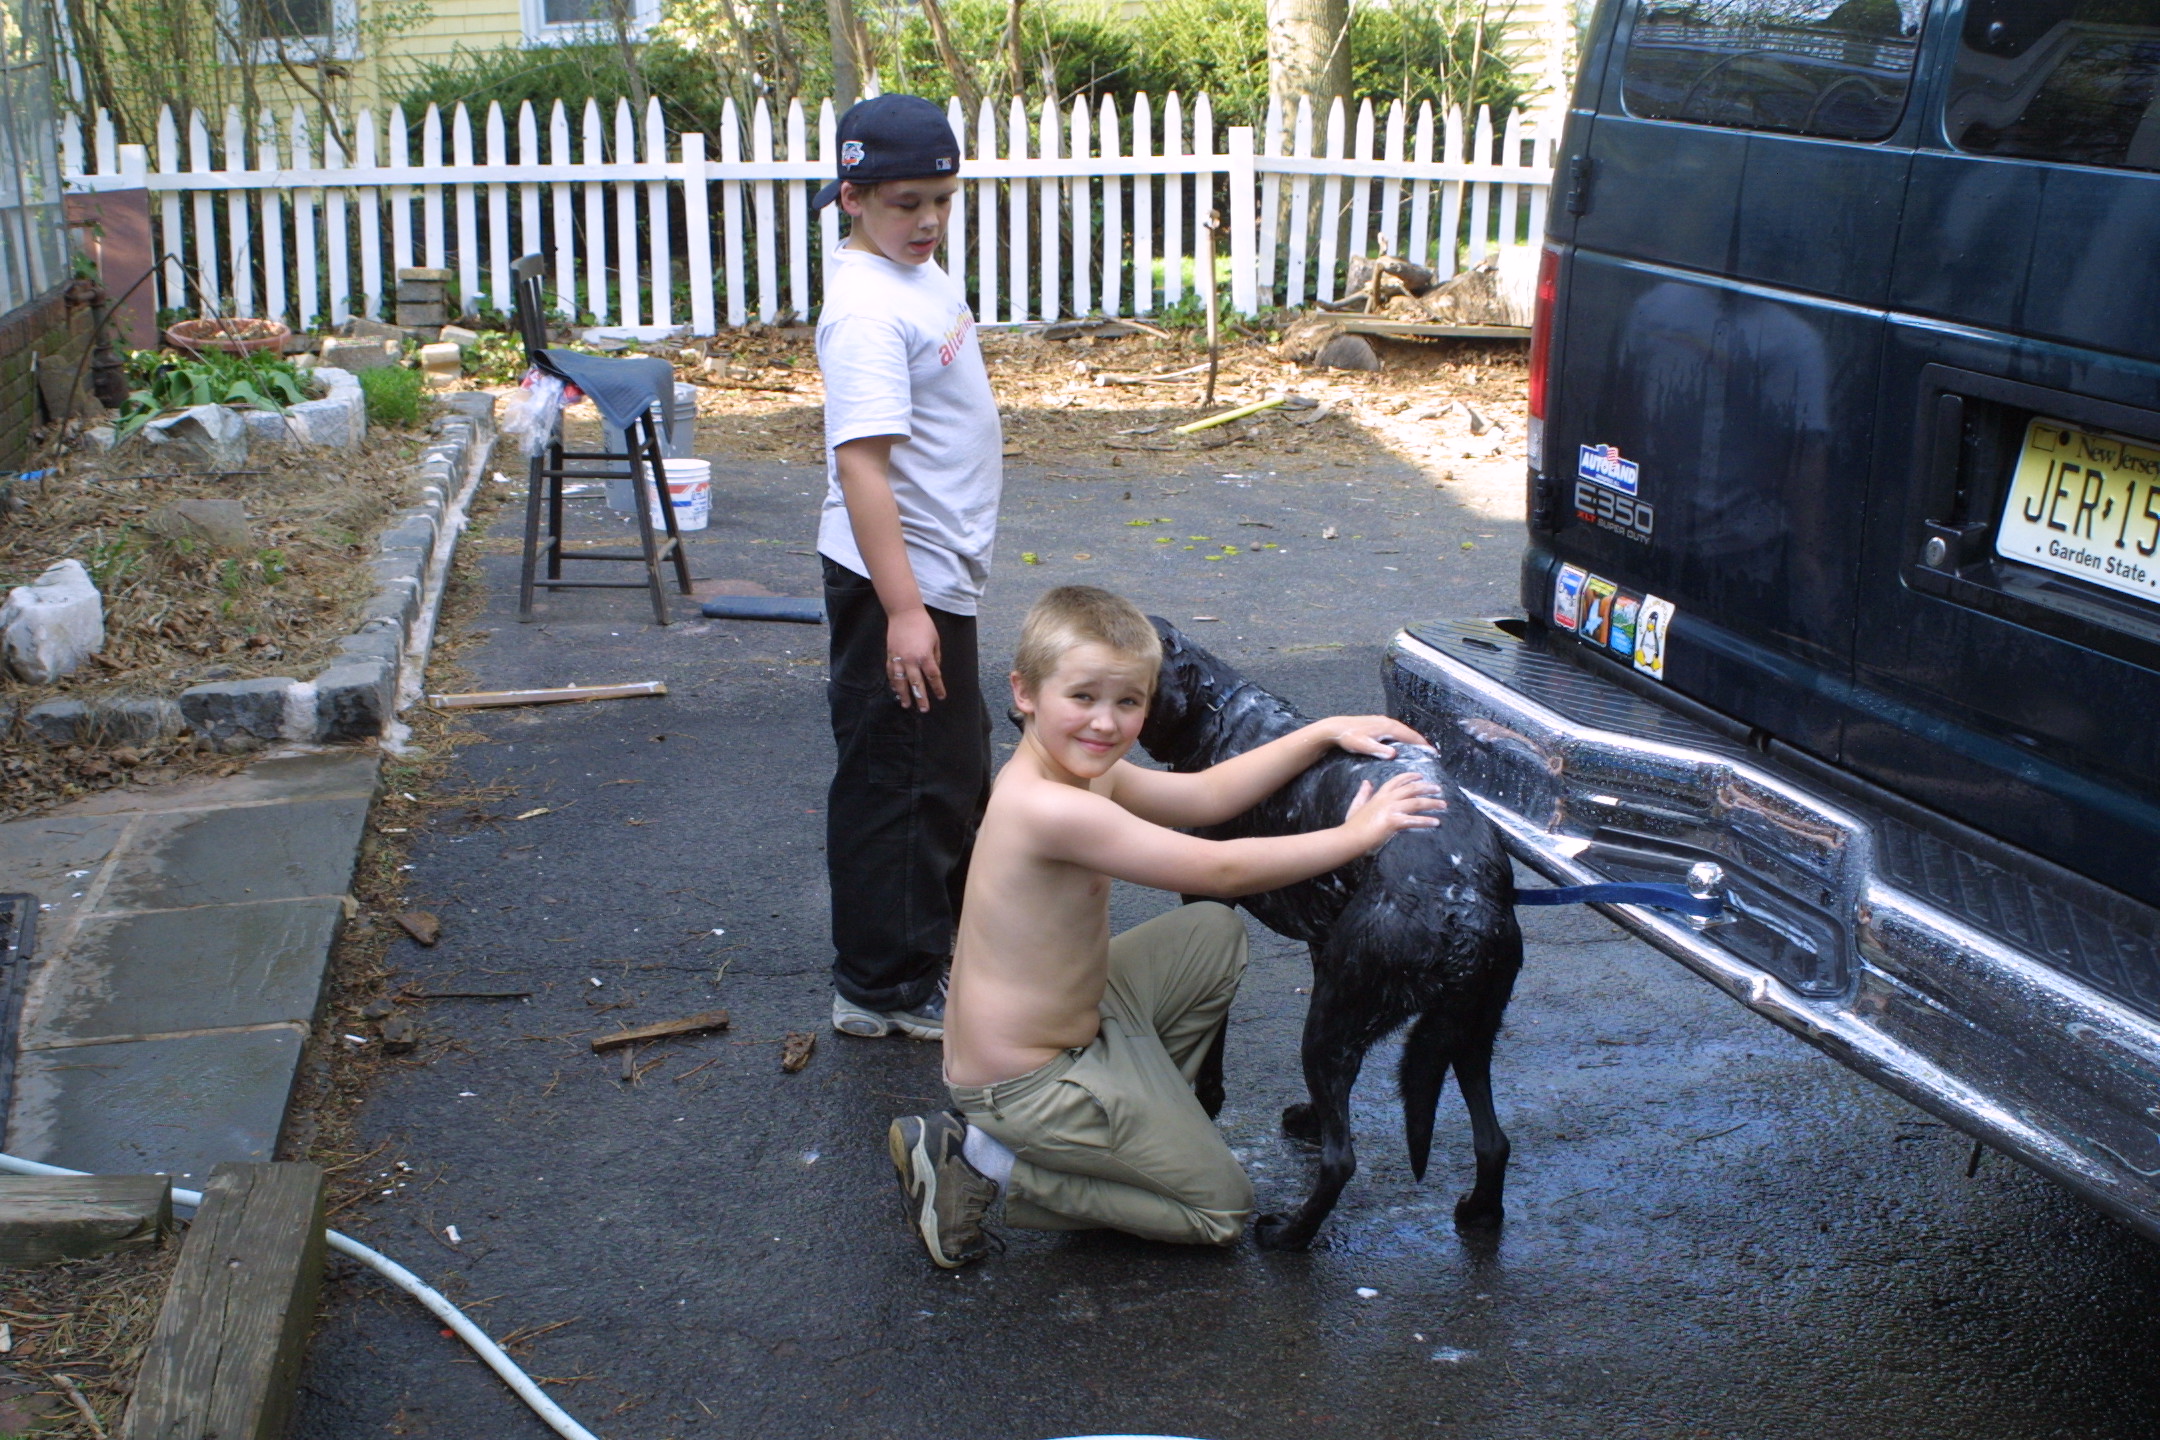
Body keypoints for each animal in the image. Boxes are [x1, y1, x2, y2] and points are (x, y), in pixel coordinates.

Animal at [1138, 619, 1524, 1249]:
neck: (1220, 713)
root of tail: (1463, 911)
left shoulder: (1209, 904)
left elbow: (1214, 1045)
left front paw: (1208, 1101)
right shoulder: (1322, 945)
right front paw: (1311, 1120)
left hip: (1330, 1027)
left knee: (1342, 1162)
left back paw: (1289, 1234)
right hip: (1463, 1033)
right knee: (1493, 1141)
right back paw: (1479, 1210)